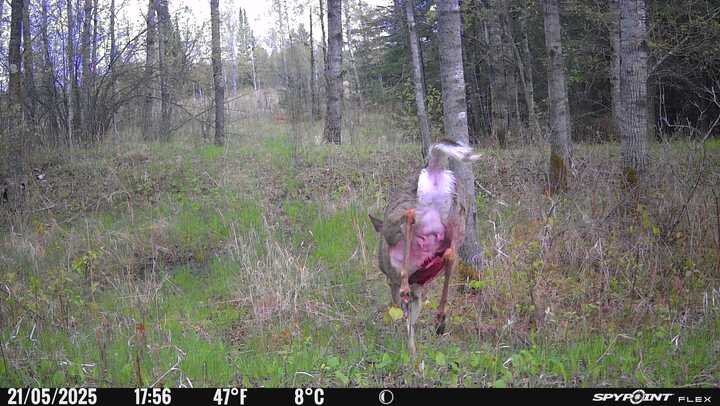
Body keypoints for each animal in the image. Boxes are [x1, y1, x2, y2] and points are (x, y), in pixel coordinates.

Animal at [369, 139, 480, 357]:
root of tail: (434, 167)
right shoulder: (418, 288)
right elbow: (413, 319)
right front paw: (413, 352)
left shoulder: (393, 279)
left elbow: (407, 316)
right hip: (458, 215)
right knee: (450, 255)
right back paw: (440, 320)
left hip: (397, 218)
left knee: (409, 217)